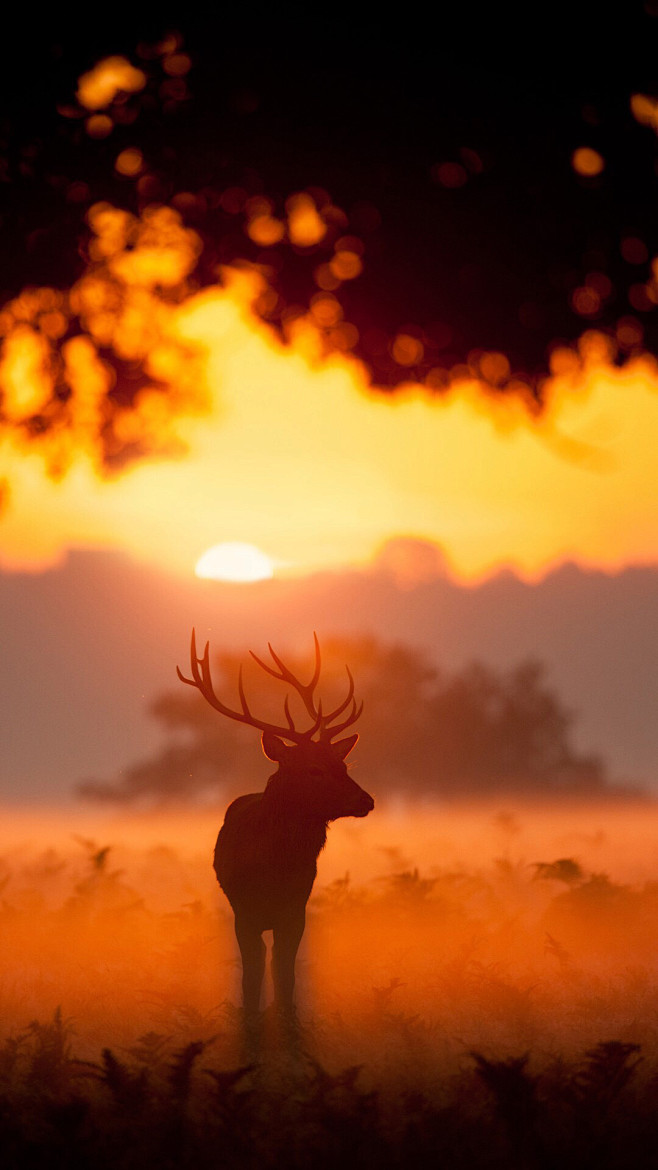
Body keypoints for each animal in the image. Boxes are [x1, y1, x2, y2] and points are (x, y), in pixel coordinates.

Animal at [175, 631, 374, 1024]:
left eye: (343, 765)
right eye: (313, 769)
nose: (366, 800)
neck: (273, 871)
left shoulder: (295, 911)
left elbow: (286, 976)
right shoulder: (243, 913)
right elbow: (251, 978)